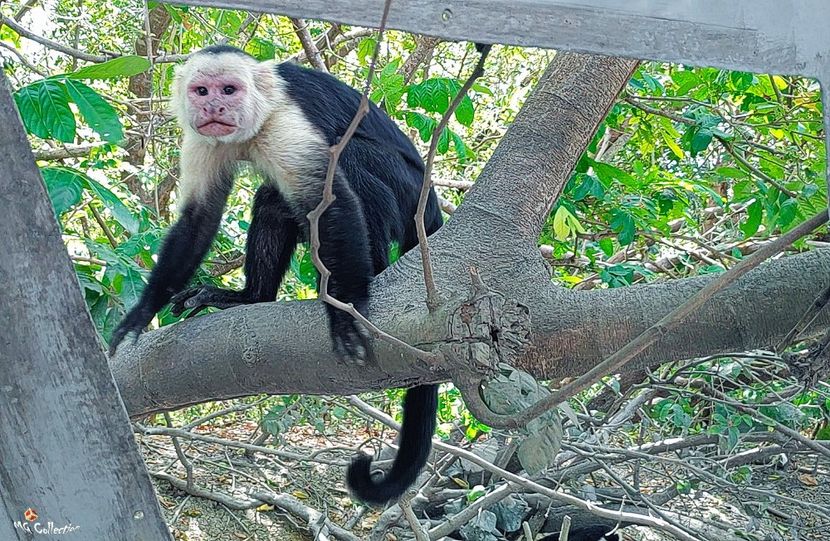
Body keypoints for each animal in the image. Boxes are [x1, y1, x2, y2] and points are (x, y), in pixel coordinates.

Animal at [114, 44, 448, 504]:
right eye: (201, 91)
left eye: (229, 89)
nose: (214, 106)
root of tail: (430, 204)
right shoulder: (202, 137)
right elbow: (198, 219)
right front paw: (143, 310)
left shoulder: (285, 121)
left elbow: (332, 197)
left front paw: (347, 313)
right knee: (273, 200)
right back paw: (250, 297)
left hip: (408, 191)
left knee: (351, 162)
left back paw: (369, 276)